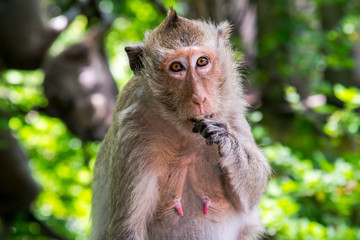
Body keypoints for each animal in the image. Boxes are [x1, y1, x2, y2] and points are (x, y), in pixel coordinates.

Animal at [90, 8, 270, 239]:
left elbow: (252, 193)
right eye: (177, 67)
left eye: (202, 62)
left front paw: (225, 139)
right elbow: (128, 226)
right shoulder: (132, 132)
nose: (199, 98)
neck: (183, 132)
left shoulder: (231, 110)